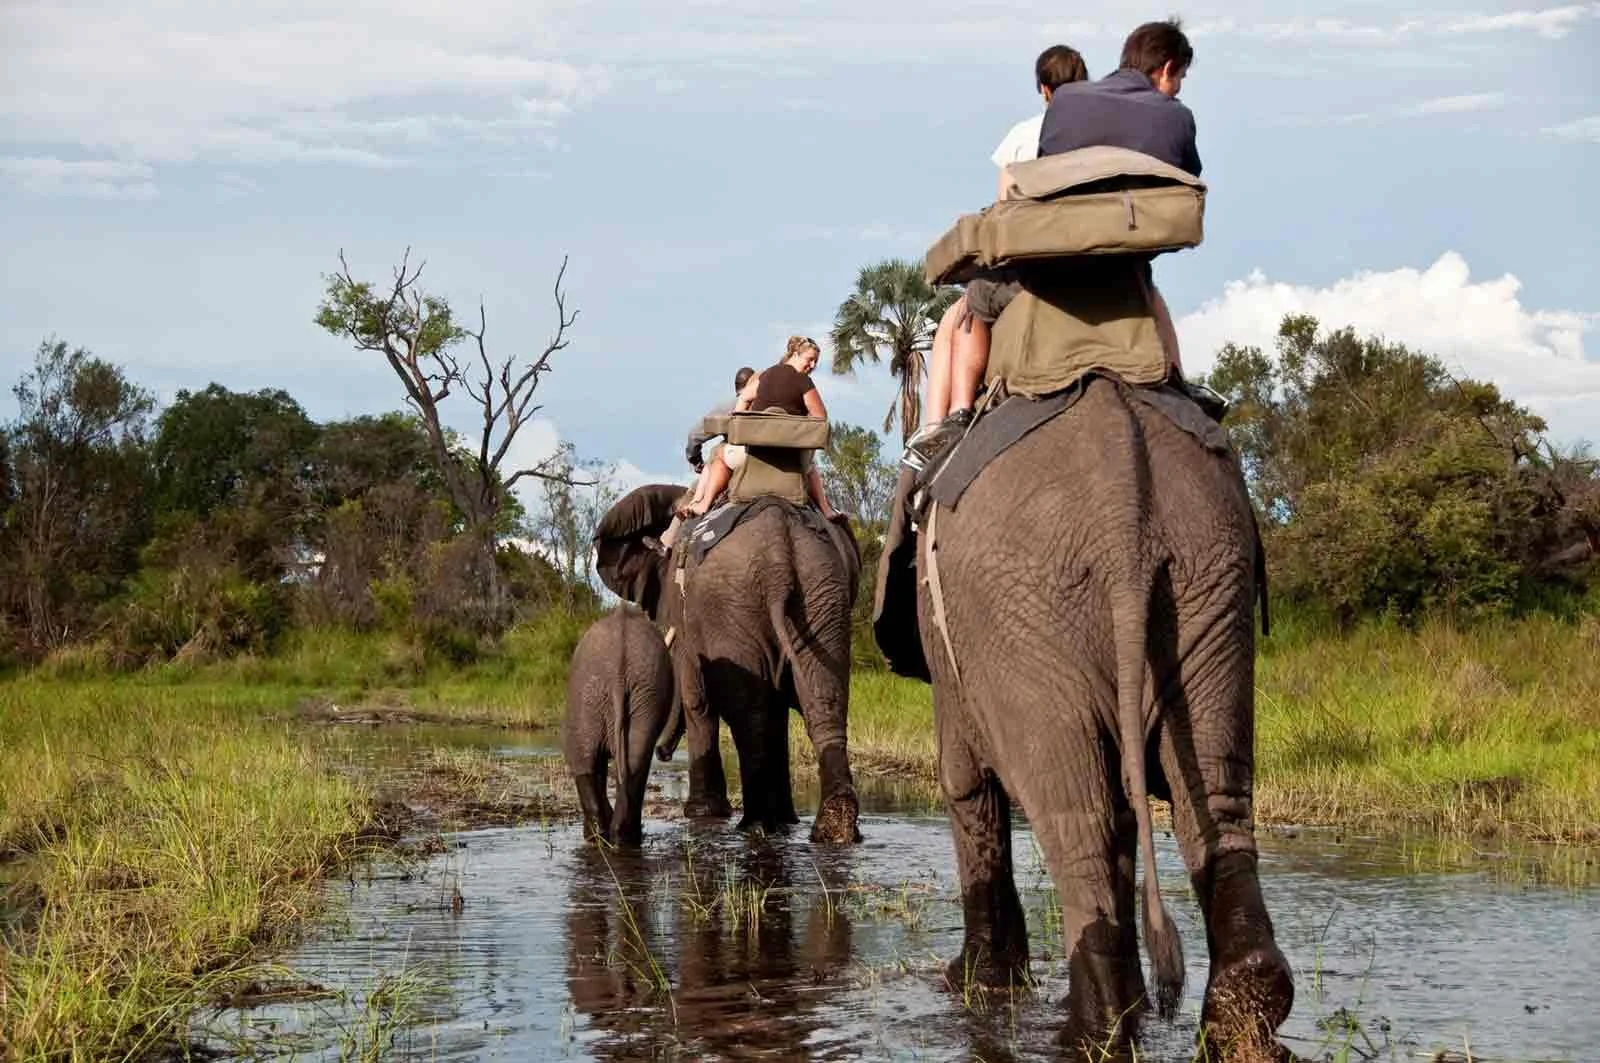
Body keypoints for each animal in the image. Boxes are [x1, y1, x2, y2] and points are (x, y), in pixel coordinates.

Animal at [562, 605, 676, 847]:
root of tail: (618, 670)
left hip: (630, 694)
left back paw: (608, 838)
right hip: (610, 693)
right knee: (620, 764)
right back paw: (613, 838)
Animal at [593, 485, 863, 845]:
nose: (663, 753)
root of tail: (778, 552)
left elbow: (698, 700)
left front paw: (702, 813)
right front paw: (786, 819)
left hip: (728, 603)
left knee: (749, 713)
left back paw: (756, 824)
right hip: (820, 591)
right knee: (822, 702)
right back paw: (833, 827)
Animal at [903, 376, 1293, 1056]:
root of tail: (1122, 513)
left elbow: (964, 779)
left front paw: (974, 985)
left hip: (1018, 610)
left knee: (1074, 816)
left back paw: (1091, 1032)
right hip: (1210, 573)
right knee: (1211, 794)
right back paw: (1245, 1001)